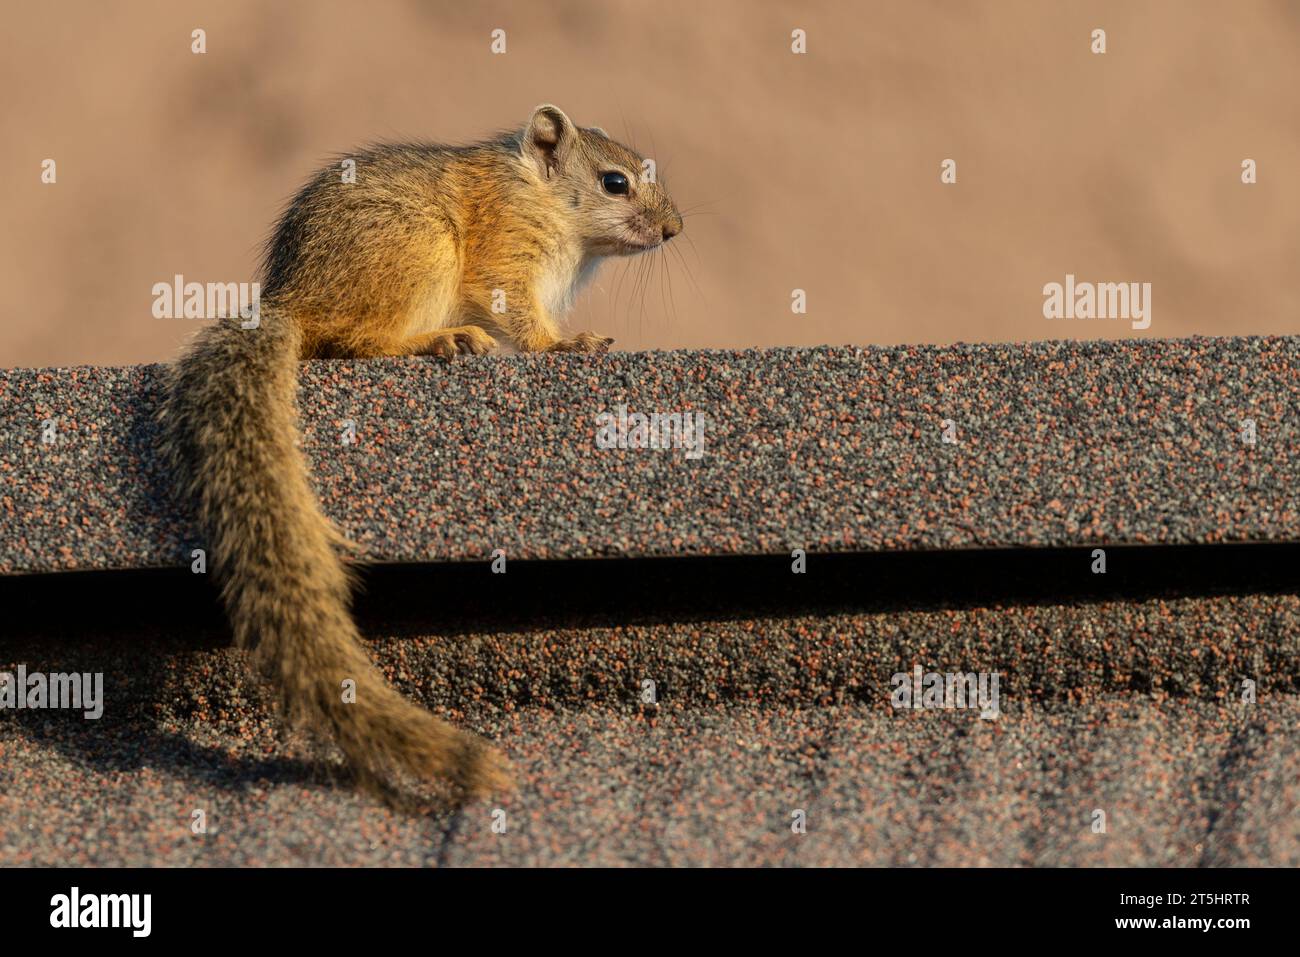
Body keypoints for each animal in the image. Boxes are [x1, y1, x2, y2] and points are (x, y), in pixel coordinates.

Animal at [159, 105, 683, 800]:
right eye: (615, 182)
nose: (674, 229)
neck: (543, 199)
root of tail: (293, 303)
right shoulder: (505, 252)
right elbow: (519, 316)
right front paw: (564, 345)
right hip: (413, 251)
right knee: (350, 341)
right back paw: (439, 340)